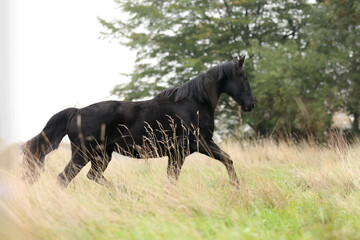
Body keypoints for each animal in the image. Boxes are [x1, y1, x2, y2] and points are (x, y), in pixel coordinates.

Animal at [23, 56, 253, 188]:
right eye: (244, 77)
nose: (250, 104)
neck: (193, 104)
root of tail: (76, 112)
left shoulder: (178, 153)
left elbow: (172, 179)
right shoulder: (199, 144)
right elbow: (228, 160)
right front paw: (236, 187)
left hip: (102, 156)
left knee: (92, 176)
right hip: (84, 154)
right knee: (64, 178)